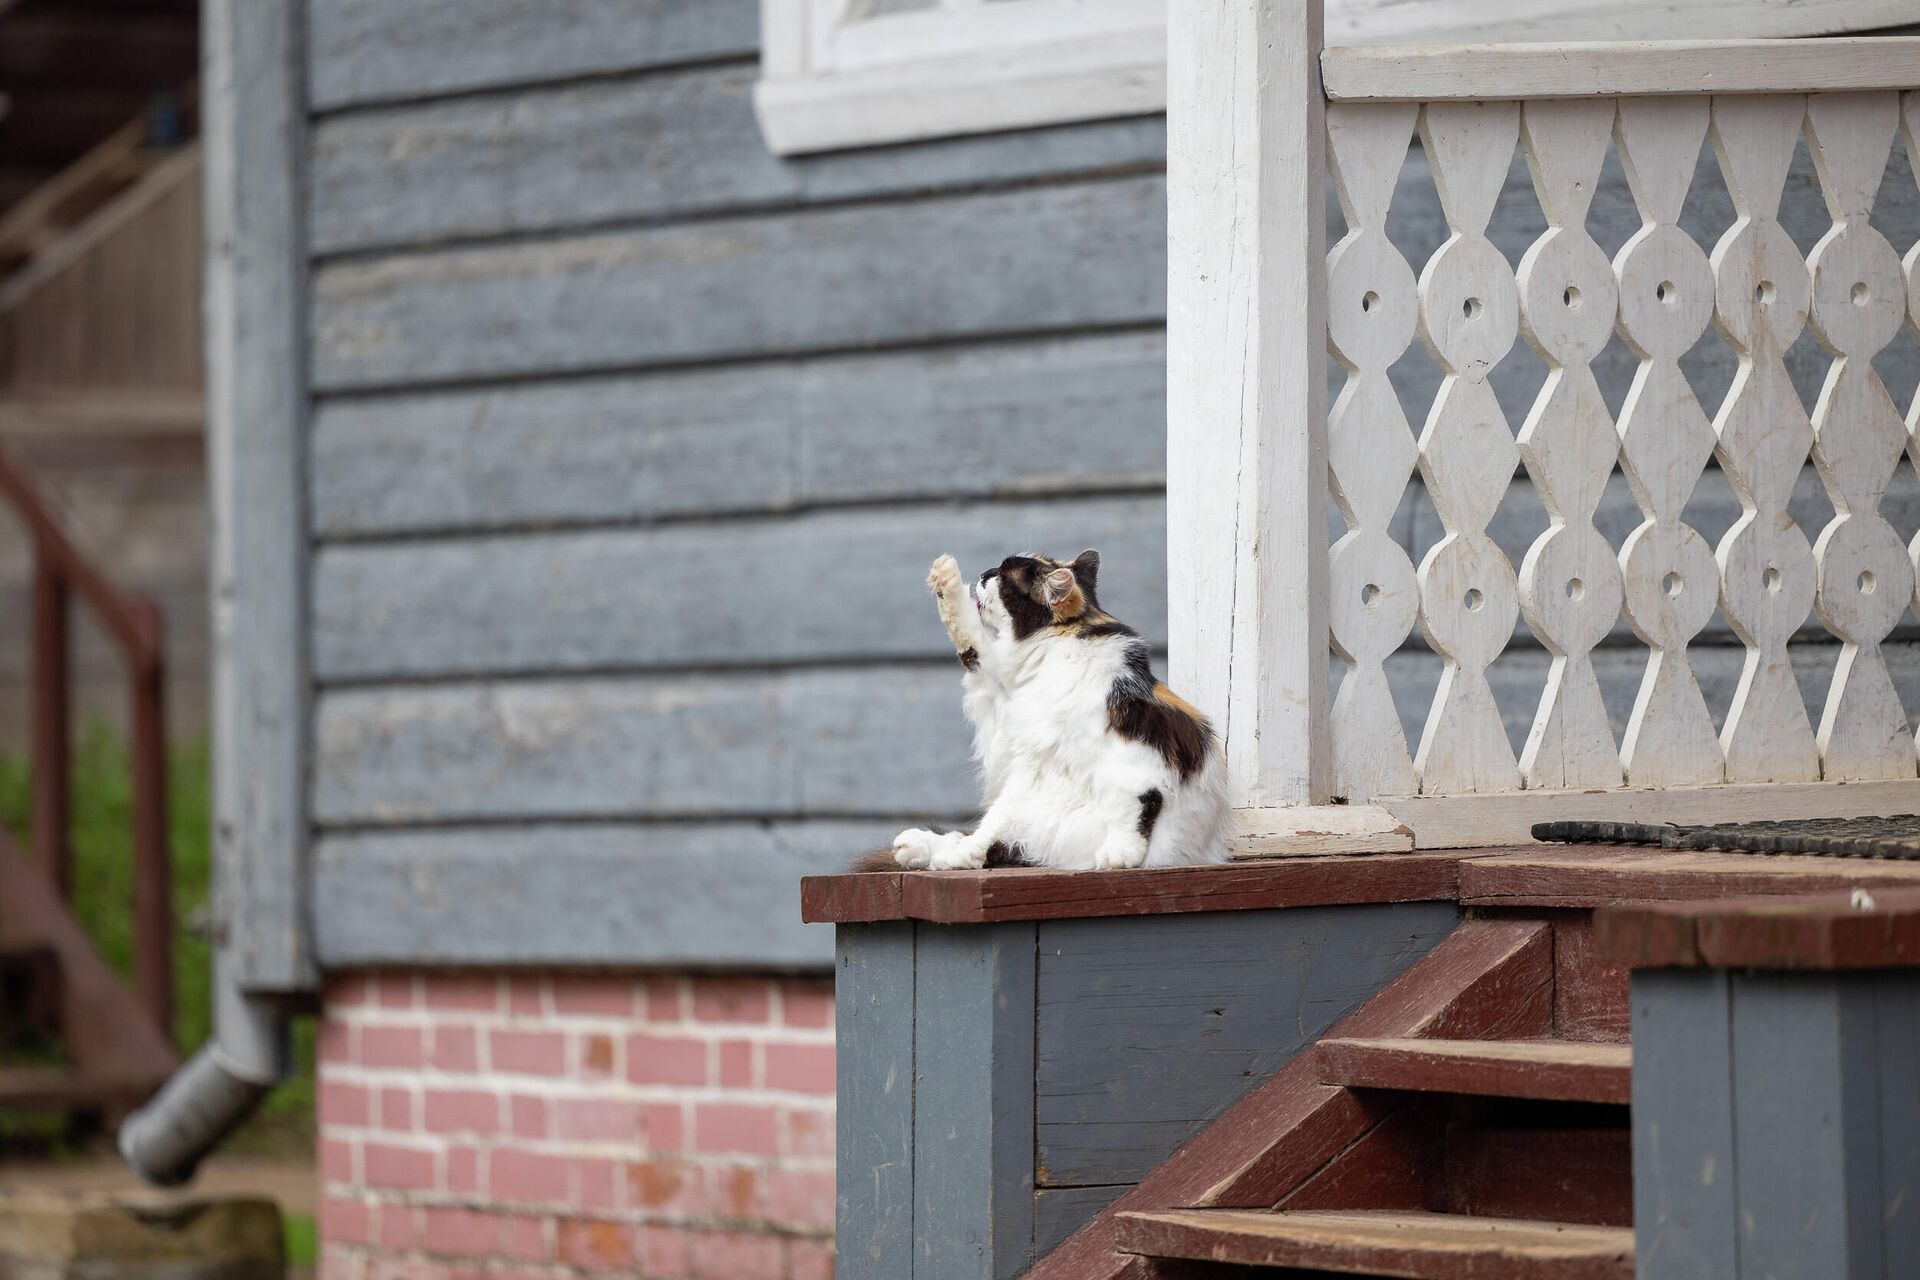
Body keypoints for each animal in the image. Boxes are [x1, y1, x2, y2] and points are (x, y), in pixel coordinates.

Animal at [887, 548, 1228, 871]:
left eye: (1004, 576)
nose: (984, 574)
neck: (1058, 645)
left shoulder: (1134, 750)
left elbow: (1140, 798)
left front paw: (1122, 853)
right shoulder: (1016, 722)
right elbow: (971, 639)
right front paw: (944, 576)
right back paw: (920, 846)